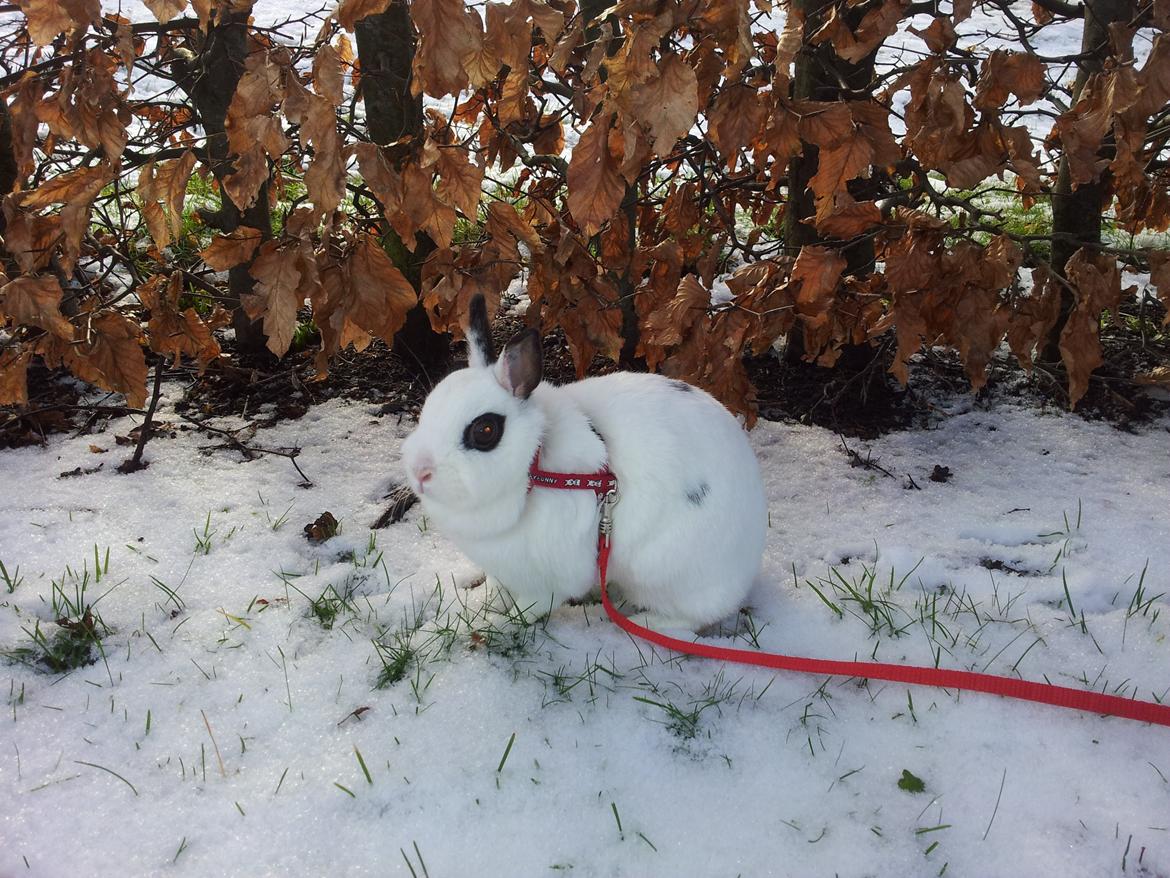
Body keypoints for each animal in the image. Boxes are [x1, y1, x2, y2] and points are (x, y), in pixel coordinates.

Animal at [397, 296, 772, 632]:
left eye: (485, 430)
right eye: (427, 409)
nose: (419, 472)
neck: (535, 469)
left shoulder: (546, 580)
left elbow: (529, 609)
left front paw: (493, 625)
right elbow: (497, 587)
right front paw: (484, 603)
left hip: (668, 577)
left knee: (691, 619)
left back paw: (637, 621)